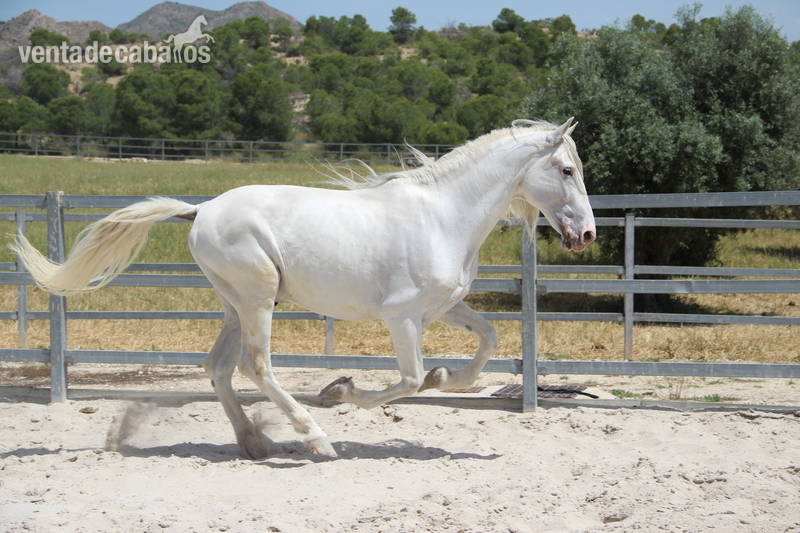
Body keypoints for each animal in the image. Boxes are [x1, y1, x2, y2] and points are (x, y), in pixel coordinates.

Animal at [11, 119, 596, 459]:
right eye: (566, 169)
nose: (587, 234)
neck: (443, 216)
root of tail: (201, 210)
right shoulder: (401, 315)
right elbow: (407, 379)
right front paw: (344, 392)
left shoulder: (443, 308)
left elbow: (488, 342)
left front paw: (447, 376)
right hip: (257, 297)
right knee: (257, 367)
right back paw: (315, 438)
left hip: (235, 303)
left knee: (219, 368)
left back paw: (256, 442)